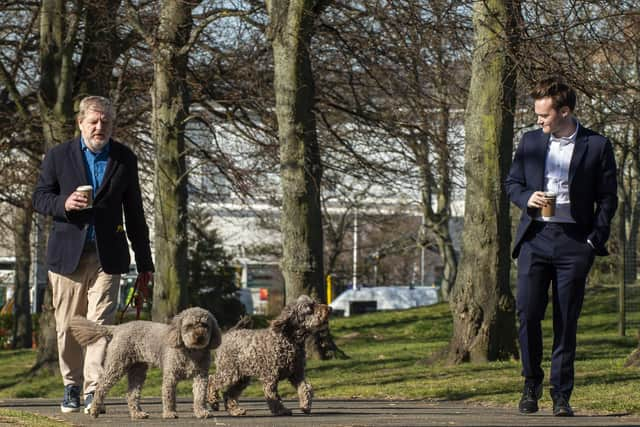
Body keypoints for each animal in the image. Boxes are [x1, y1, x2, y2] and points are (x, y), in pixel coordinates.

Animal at [69, 308, 221, 422]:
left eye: (205, 325)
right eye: (189, 326)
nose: (199, 337)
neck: (191, 351)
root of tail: (118, 328)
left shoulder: (201, 376)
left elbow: (200, 395)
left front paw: (201, 412)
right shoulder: (171, 376)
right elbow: (169, 396)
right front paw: (169, 413)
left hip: (138, 370)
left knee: (131, 394)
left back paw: (137, 414)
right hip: (116, 365)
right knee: (101, 387)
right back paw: (94, 410)